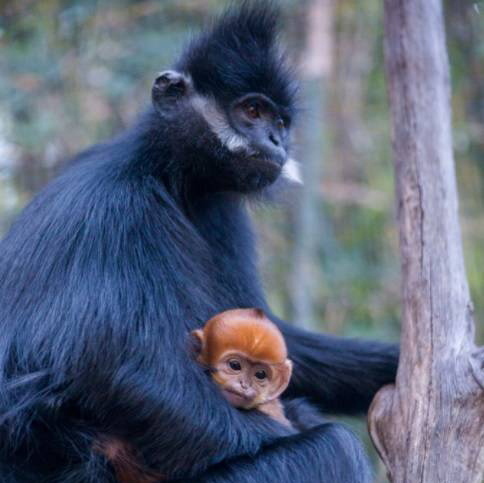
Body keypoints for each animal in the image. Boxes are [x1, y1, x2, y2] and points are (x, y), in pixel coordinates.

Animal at [0, 3, 398, 483]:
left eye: (281, 123)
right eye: (252, 111)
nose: (277, 141)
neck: (167, 175)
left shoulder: (218, 209)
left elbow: (269, 335)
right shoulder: (116, 207)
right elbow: (119, 372)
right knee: (334, 447)